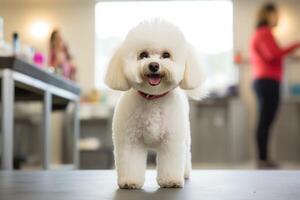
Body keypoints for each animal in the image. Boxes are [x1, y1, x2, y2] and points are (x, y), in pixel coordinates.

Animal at [105, 19, 202, 189]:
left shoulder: (171, 140)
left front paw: (170, 181)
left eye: (166, 55)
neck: (153, 98)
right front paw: (130, 181)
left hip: (185, 137)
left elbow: (171, 160)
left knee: (186, 154)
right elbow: (130, 161)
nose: (154, 65)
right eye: (143, 55)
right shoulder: (130, 141)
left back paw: (184, 173)